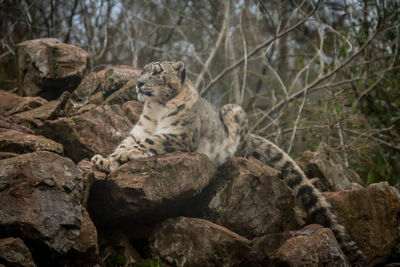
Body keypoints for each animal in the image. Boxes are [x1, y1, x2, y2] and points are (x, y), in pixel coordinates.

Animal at [92, 60, 368, 266]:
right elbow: (125, 144)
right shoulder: (138, 131)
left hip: (233, 111)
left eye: (157, 73)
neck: (157, 110)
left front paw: (120, 157)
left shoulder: (177, 136)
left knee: (243, 148)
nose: (139, 83)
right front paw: (104, 160)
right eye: (142, 71)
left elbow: (146, 144)